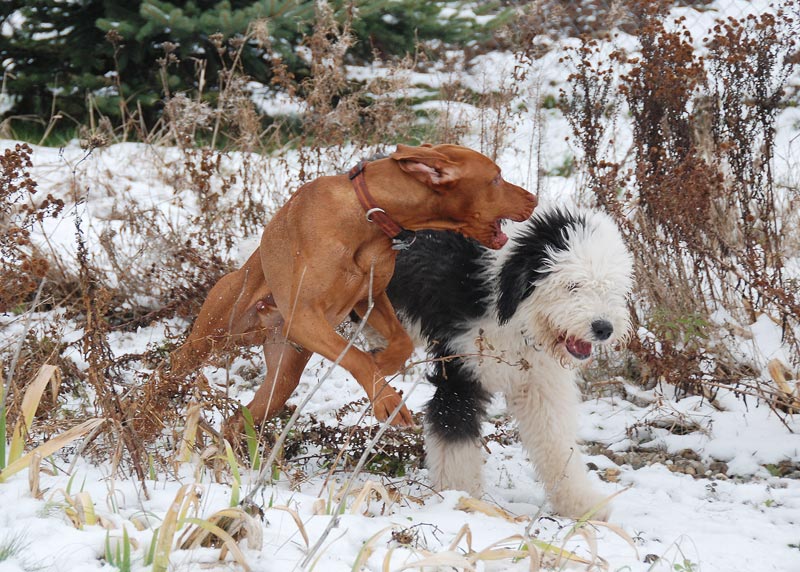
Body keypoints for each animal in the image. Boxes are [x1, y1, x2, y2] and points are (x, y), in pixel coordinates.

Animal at [173, 144, 536, 434]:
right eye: (496, 178)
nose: (534, 198)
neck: (368, 216)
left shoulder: (368, 299)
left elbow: (401, 342)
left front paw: (384, 363)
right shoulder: (304, 317)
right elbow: (356, 356)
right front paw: (386, 398)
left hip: (282, 378)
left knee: (238, 420)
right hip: (209, 336)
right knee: (170, 371)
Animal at [378, 208, 636, 520]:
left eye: (612, 287)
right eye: (572, 285)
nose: (603, 328)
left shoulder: (539, 379)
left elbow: (556, 441)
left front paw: (580, 503)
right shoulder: (461, 369)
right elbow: (453, 432)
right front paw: (460, 498)